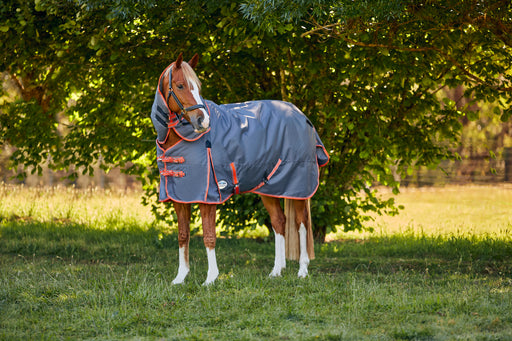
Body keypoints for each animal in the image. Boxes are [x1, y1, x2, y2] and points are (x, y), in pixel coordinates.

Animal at [150, 53, 330, 282]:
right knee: (279, 222)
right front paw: (180, 278)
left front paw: (211, 279)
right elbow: (183, 235)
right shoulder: (180, 198)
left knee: (301, 223)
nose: (203, 121)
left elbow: (209, 236)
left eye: (198, 87)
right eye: (180, 85)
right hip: (269, 188)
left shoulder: (208, 197)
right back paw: (276, 271)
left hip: (297, 188)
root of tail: (300, 115)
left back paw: (302, 270)